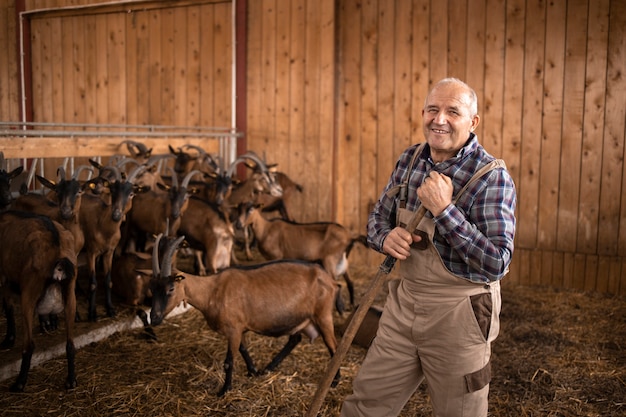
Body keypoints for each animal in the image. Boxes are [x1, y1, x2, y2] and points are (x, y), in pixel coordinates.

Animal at [0, 210, 77, 392]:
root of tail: (58, 250)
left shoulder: (4, 278)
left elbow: (8, 307)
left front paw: (9, 339)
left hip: (29, 293)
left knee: (29, 345)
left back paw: (19, 384)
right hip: (70, 294)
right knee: (70, 343)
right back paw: (71, 381)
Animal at [148, 234, 338, 396]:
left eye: (171, 289)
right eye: (152, 288)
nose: (154, 317)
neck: (212, 291)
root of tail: (328, 278)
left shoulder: (233, 329)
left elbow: (228, 361)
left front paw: (224, 390)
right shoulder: (240, 328)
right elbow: (244, 349)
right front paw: (253, 371)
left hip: (323, 315)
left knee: (333, 346)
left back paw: (335, 381)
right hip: (298, 318)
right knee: (295, 339)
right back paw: (267, 369)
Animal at [238, 202, 366, 306]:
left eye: (251, 209)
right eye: (239, 209)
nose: (239, 224)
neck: (265, 229)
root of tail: (350, 237)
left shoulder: (275, 257)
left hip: (330, 260)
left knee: (336, 284)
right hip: (342, 261)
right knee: (350, 282)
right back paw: (352, 305)